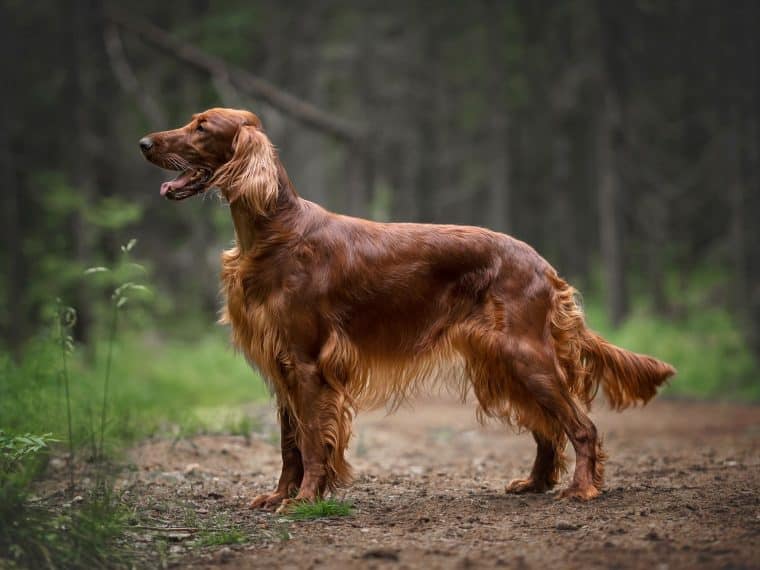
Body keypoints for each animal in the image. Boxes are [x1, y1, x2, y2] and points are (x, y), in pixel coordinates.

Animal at [140, 108, 672, 508]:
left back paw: (581, 488)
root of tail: (543, 264)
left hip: (525, 355)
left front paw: (307, 498)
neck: (274, 232)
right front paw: (279, 496)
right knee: (547, 428)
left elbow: (311, 440)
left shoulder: (308, 364)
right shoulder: (281, 364)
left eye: (202, 127)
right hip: (503, 361)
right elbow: (290, 443)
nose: (144, 143)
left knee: (581, 426)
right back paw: (537, 482)